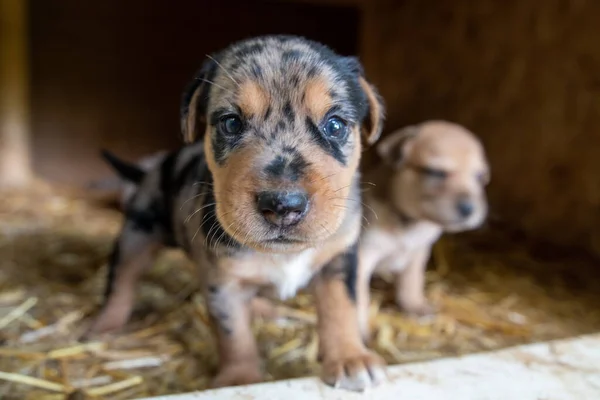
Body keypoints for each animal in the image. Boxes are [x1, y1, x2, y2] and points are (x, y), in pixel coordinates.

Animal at [90, 35, 390, 390]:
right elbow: (235, 334)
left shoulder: (339, 261)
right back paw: (104, 325)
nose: (283, 205)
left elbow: (340, 309)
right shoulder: (223, 283)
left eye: (335, 125)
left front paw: (349, 358)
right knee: (121, 281)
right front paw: (240, 379)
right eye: (231, 123)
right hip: (137, 233)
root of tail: (152, 169)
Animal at [356, 120, 488, 340]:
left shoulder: (418, 253)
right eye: (436, 172)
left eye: (479, 177)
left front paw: (415, 305)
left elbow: (412, 281)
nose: (469, 209)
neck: (411, 223)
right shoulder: (362, 256)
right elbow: (359, 297)